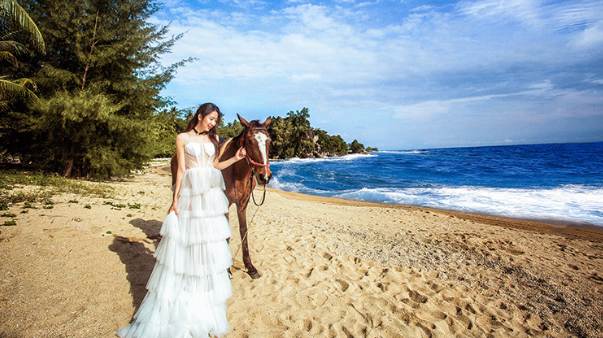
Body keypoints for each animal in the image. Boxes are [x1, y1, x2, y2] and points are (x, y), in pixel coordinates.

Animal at [171, 115, 272, 278]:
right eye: (250, 141)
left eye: (269, 140)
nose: (265, 176)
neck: (237, 173)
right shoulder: (224, 203)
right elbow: (227, 232)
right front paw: (227, 269)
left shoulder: (243, 203)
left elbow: (243, 230)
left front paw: (250, 266)